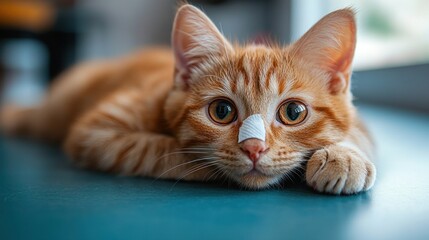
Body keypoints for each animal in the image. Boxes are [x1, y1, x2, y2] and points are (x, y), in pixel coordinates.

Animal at [0, 4, 374, 194]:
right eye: (222, 110)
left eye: (294, 112)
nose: (254, 148)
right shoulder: (95, 131)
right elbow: (156, 149)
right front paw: (207, 164)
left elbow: (358, 133)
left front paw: (345, 158)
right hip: (53, 113)